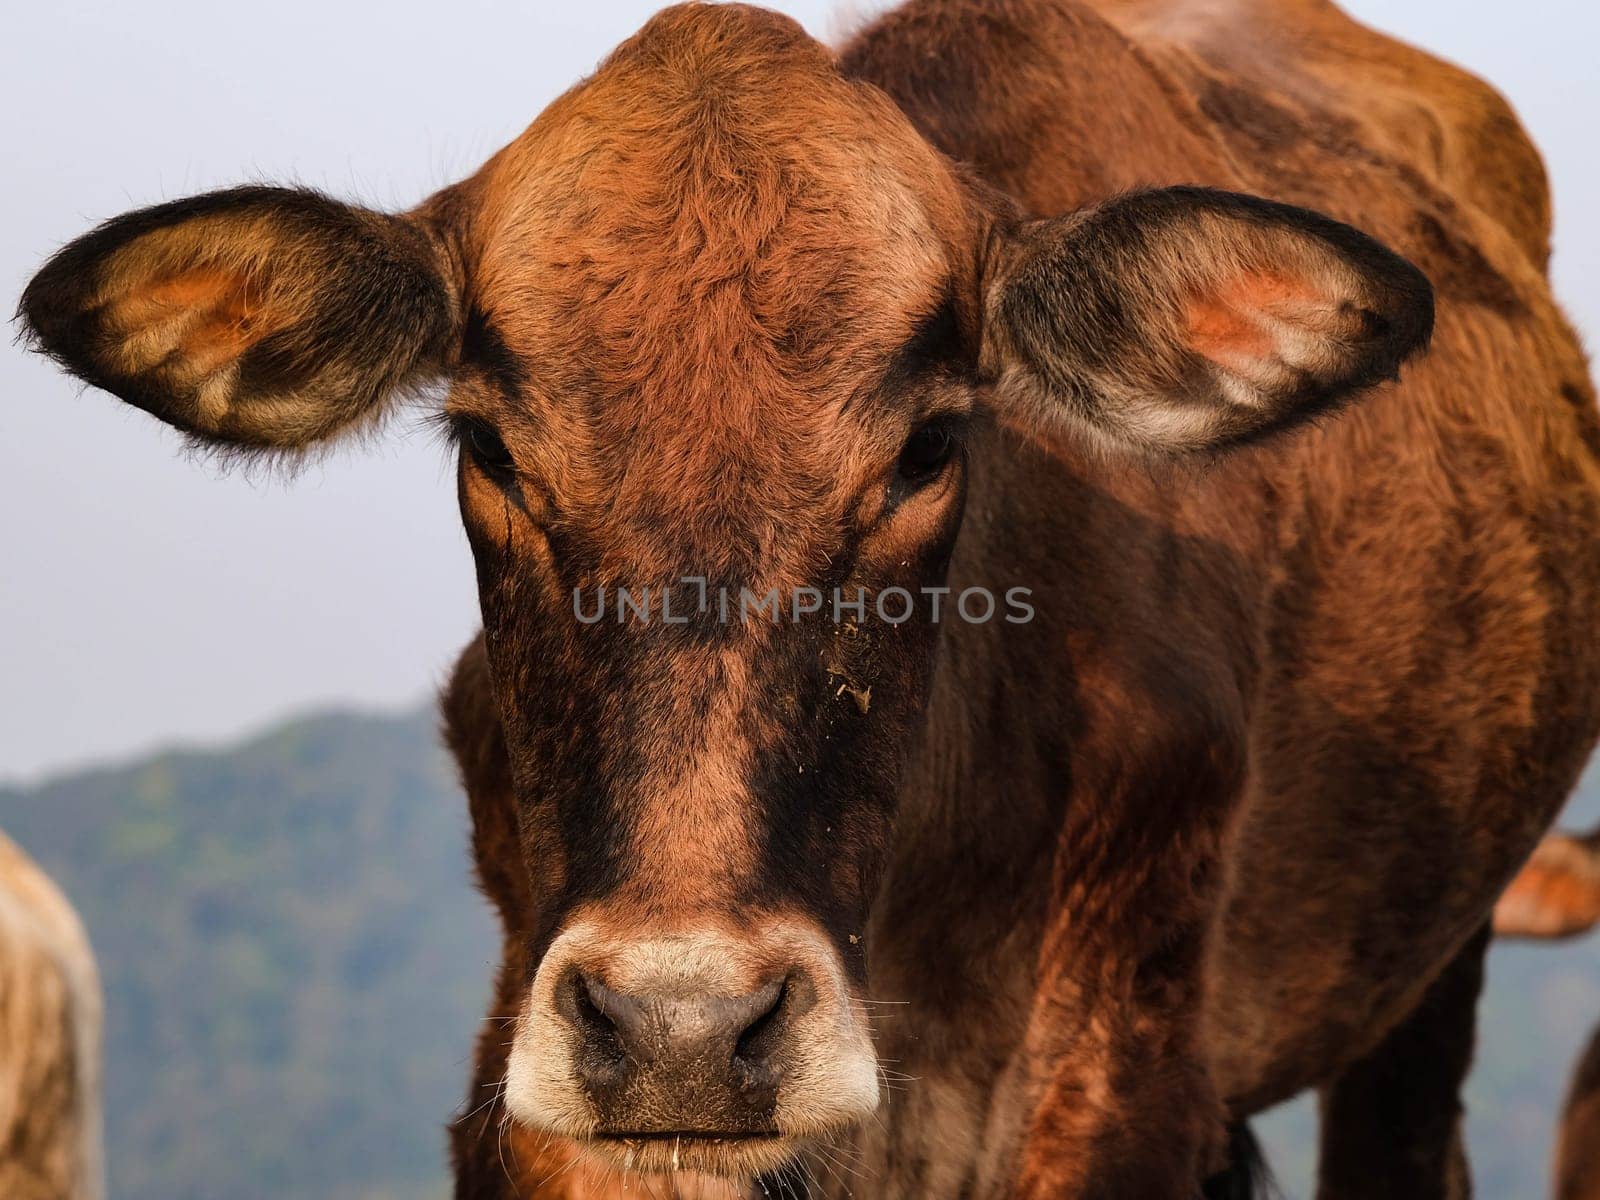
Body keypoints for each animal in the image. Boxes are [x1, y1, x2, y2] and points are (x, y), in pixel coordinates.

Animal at [15, 2, 1600, 1200]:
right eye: (488, 448)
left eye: (928, 445)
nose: (685, 1027)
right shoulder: (549, 1082)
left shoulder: (1117, 1077)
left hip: (1425, 979)